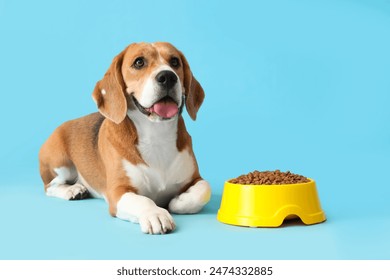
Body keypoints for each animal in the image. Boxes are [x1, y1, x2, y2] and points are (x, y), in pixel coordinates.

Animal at [38, 41, 212, 234]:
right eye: (139, 62)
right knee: (50, 187)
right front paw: (156, 214)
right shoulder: (118, 192)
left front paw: (178, 201)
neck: (155, 135)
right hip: (60, 164)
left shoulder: (196, 178)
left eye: (175, 62)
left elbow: (204, 190)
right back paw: (73, 190)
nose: (168, 76)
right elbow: (143, 200)